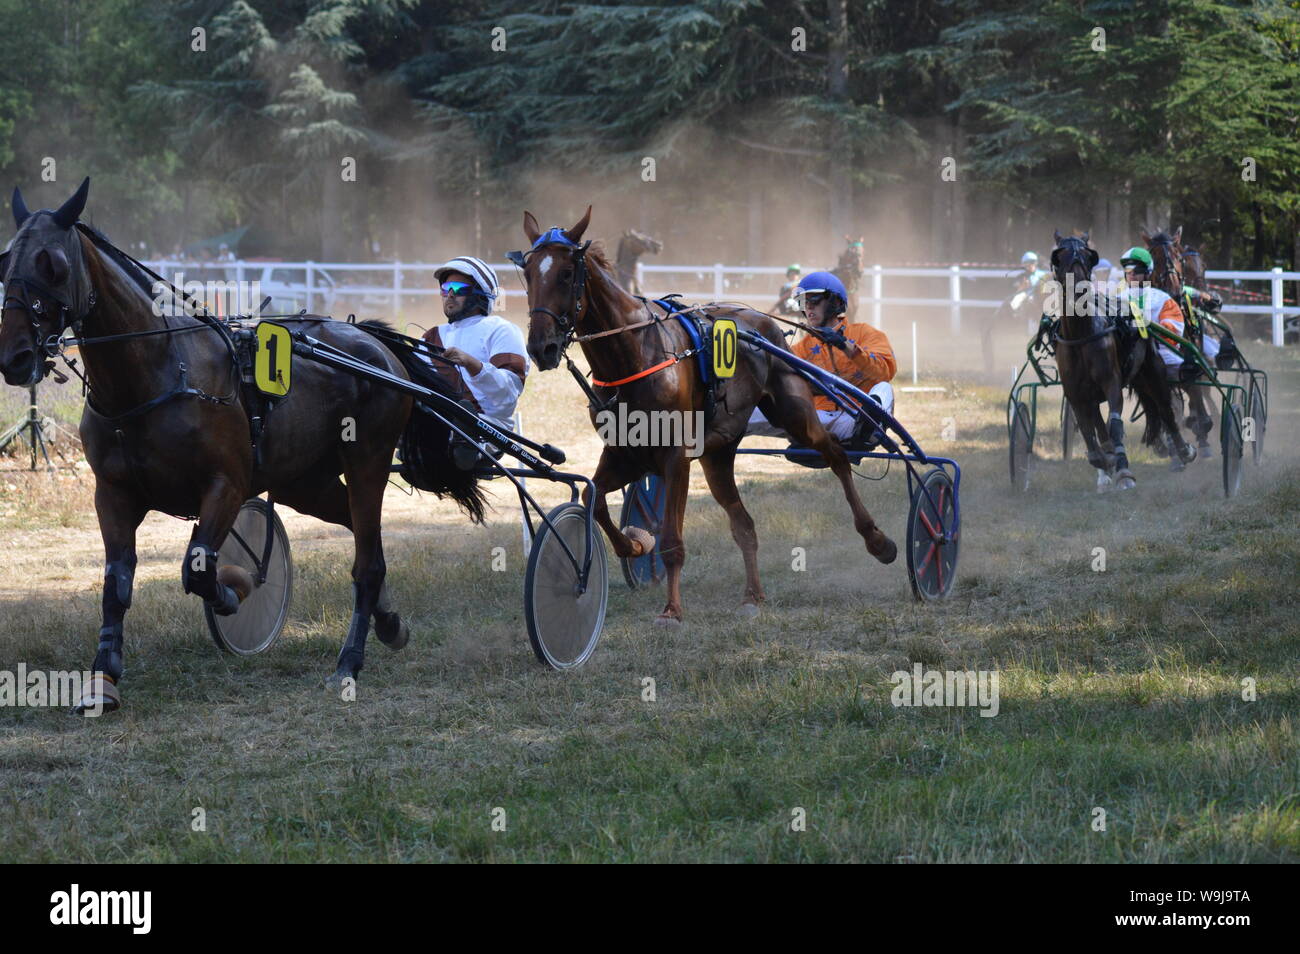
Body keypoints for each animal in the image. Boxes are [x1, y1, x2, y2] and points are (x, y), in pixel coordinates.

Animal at [0, 178, 483, 711]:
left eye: (54, 265)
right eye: (5, 261)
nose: (15, 356)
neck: (156, 376)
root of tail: (373, 342)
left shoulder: (226, 486)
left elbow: (199, 569)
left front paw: (234, 591)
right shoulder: (113, 493)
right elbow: (116, 584)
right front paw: (103, 675)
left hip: (368, 462)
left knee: (368, 560)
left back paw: (348, 661)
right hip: (306, 484)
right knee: (362, 535)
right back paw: (390, 623)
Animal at [515, 207, 896, 624]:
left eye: (567, 273)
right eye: (528, 272)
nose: (541, 347)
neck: (635, 352)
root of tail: (762, 321)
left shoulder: (675, 457)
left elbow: (671, 539)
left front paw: (672, 609)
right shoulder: (625, 454)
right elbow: (592, 498)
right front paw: (635, 545)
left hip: (796, 412)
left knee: (837, 457)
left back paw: (877, 540)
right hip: (718, 455)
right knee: (744, 523)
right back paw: (752, 595)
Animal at [1048, 230, 1193, 491]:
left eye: (1089, 256)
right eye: (1058, 257)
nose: (1079, 288)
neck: (1081, 335)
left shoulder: (1111, 383)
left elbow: (1115, 426)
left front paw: (1124, 471)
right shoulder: (1076, 394)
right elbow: (1089, 433)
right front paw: (1106, 462)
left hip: (1152, 373)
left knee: (1165, 409)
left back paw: (1183, 450)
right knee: (1099, 426)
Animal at [1142, 227, 1216, 458]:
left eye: (1179, 258)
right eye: (1155, 258)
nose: (1175, 290)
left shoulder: (1192, 357)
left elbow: (1196, 389)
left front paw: (1202, 431)